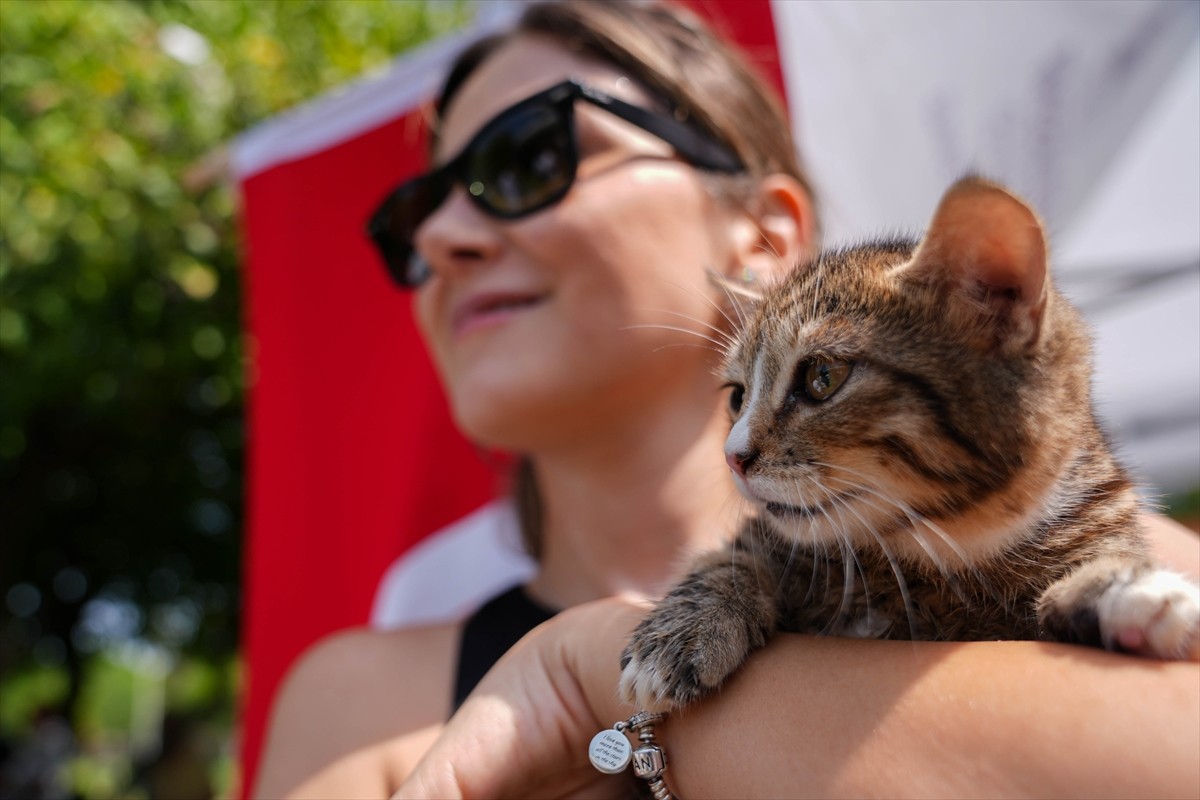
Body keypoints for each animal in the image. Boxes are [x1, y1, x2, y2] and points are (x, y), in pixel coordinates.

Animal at [619, 176, 1200, 714]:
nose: (732, 457)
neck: (935, 554)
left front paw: (1125, 591)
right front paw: (680, 632)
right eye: (737, 397)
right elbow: (729, 557)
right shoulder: (768, 540)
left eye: (822, 377)